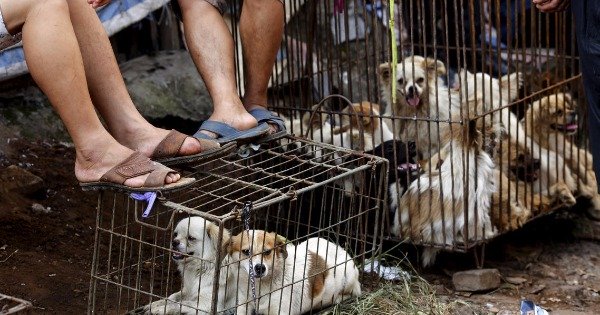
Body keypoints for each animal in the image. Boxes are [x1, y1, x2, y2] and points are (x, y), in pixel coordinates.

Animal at [230, 230, 360, 315]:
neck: (260, 286)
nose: (260, 268)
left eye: (267, 252)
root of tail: (341, 250)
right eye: (246, 251)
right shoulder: (243, 304)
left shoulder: (280, 310)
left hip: (348, 277)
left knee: (354, 292)